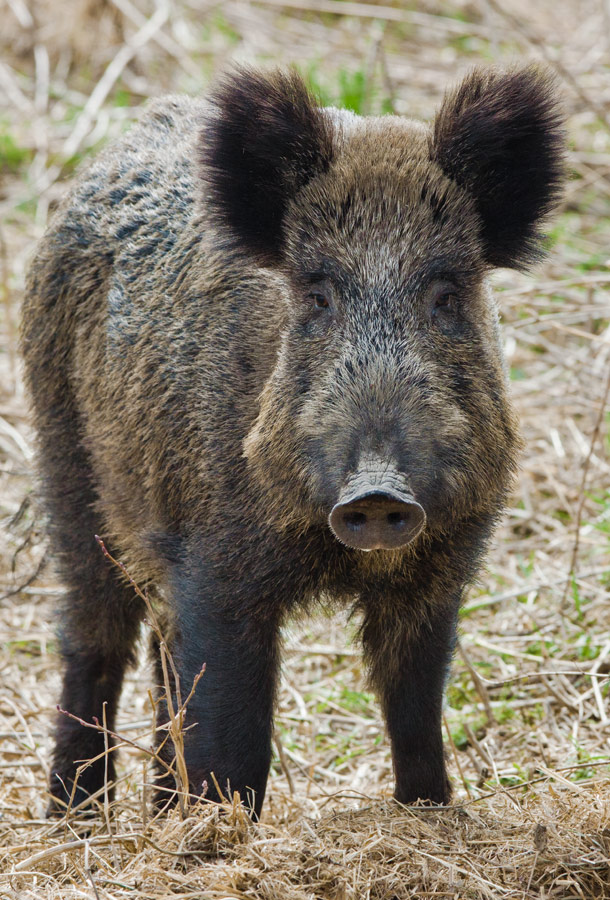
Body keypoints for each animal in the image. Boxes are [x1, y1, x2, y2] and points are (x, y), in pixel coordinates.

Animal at [21, 65, 565, 818]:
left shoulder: (442, 565)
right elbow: (233, 735)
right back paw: (78, 819)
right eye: (316, 296)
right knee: (94, 639)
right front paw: (220, 833)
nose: (377, 492)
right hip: (66, 461)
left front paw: (428, 811)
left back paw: (154, 812)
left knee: (161, 659)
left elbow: (415, 708)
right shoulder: (217, 565)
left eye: (447, 295)